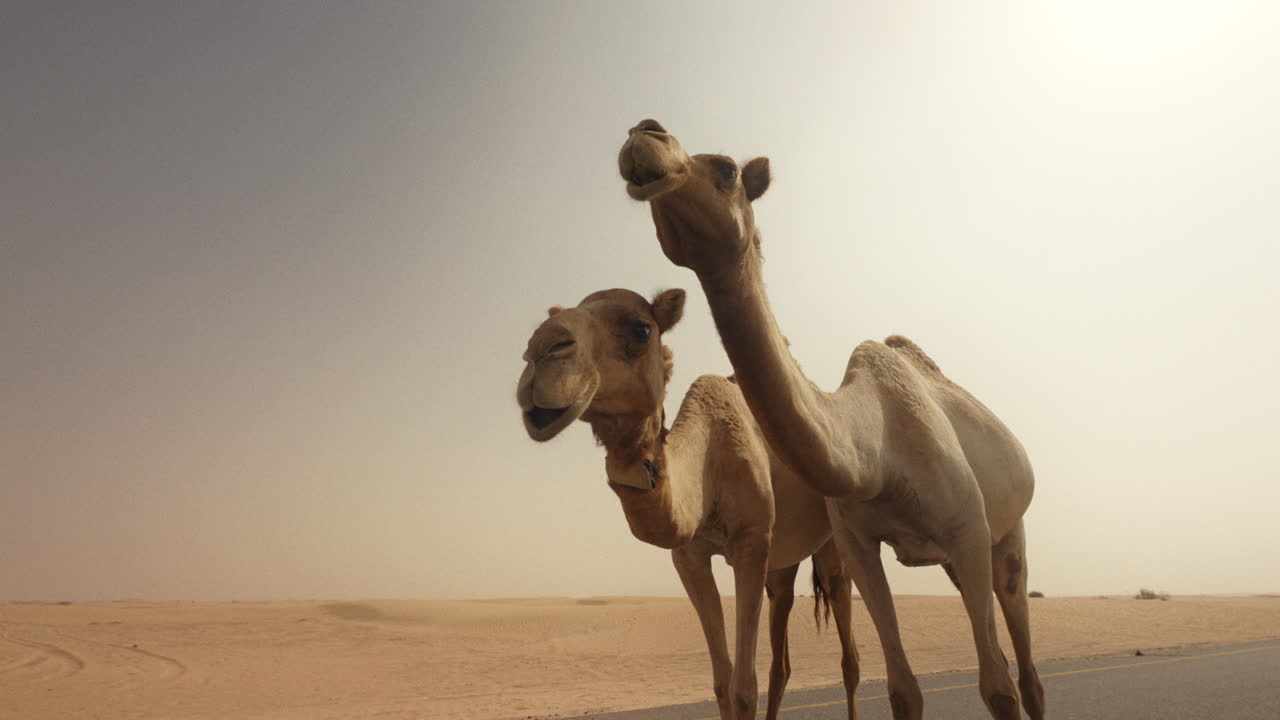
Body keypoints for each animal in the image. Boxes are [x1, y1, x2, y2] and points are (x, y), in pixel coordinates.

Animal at [516, 288, 860, 720]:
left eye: (641, 329)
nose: (540, 351)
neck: (708, 462)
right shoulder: (689, 556)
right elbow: (721, 683)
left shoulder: (750, 540)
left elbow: (743, 688)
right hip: (782, 562)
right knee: (781, 658)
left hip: (830, 542)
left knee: (848, 649)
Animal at [617, 120, 1044, 720]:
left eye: (726, 169)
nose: (645, 133)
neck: (877, 452)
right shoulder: (860, 543)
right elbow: (904, 689)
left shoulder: (966, 527)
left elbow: (999, 689)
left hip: (1005, 534)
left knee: (1025, 670)